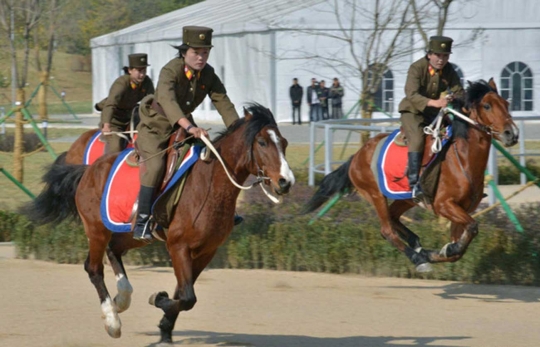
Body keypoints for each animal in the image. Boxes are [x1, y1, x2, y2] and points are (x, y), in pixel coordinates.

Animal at [24, 104, 296, 344]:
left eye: (284, 143)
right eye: (262, 143)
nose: (286, 182)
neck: (209, 183)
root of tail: (88, 170)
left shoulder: (206, 251)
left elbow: (184, 294)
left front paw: (165, 327)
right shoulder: (178, 246)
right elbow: (187, 297)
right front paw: (158, 299)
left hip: (131, 235)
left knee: (114, 251)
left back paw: (122, 298)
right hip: (96, 230)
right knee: (93, 268)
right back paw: (112, 319)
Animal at [304, 80, 520, 274]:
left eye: (506, 104)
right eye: (487, 105)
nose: (512, 134)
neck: (463, 159)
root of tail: (357, 155)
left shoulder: (462, 209)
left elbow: (458, 248)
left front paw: (439, 251)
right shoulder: (444, 204)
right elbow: (472, 228)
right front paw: (434, 254)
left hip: (406, 198)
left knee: (393, 218)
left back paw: (417, 246)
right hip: (375, 194)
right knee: (387, 230)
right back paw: (418, 258)